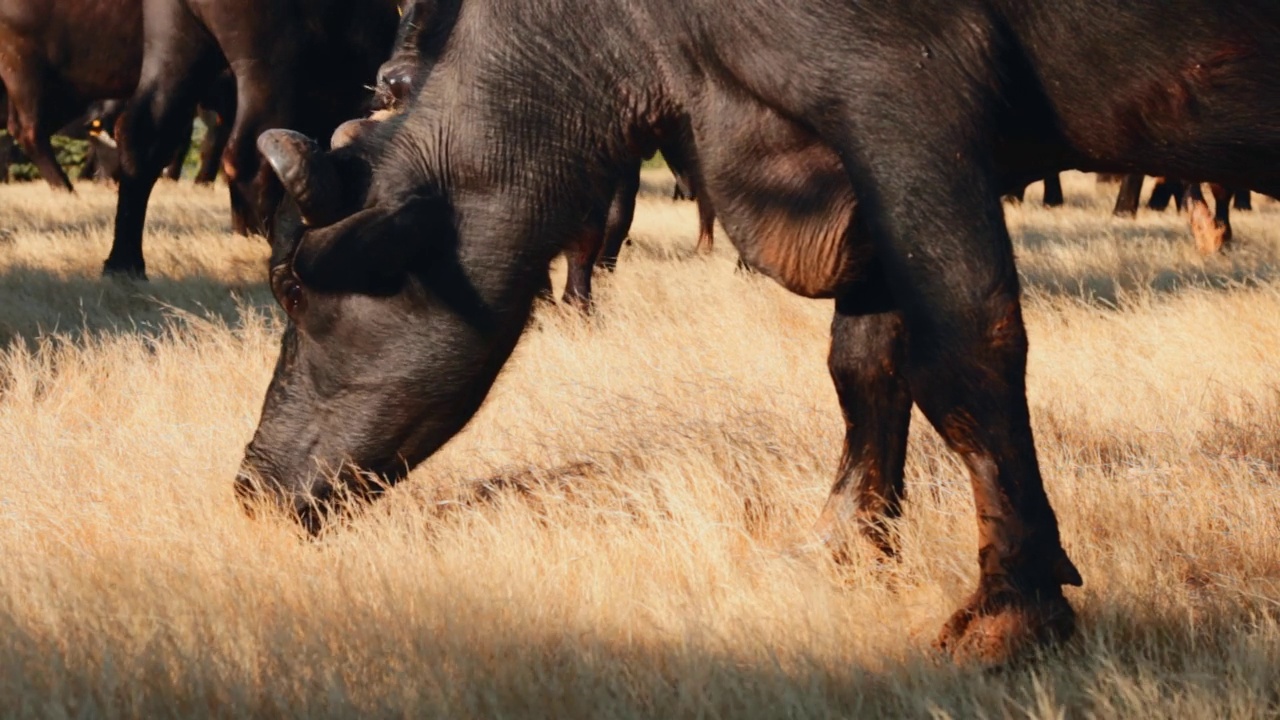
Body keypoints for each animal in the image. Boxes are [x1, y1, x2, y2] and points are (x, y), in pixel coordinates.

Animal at [238, 0, 1280, 661]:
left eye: (295, 288)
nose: (251, 486)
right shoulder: (855, 172)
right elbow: (866, 362)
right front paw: (847, 542)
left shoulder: (907, 111)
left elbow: (965, 350)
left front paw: (1011, 609)